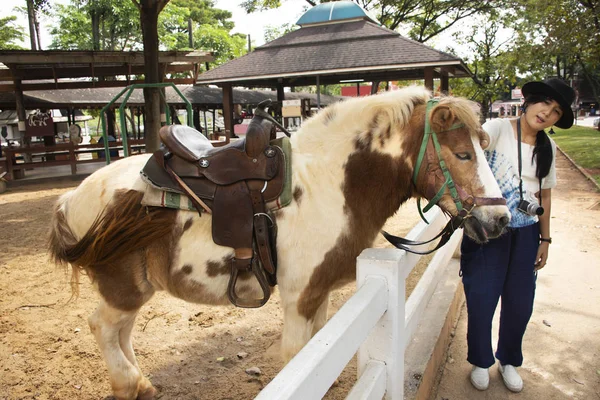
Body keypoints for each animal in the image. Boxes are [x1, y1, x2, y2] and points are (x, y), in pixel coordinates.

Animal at [48, 86, 510, 398]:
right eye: (463, 154)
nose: (502, 219)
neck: (330, 185)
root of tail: (73, 197)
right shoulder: (299, 299)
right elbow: (297, 358)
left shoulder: (319, 296)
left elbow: (318, 354)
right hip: (121, 288)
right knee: (103, 327)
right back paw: (129, 383)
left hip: (135, 289)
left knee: (121, 332)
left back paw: (140, 383)